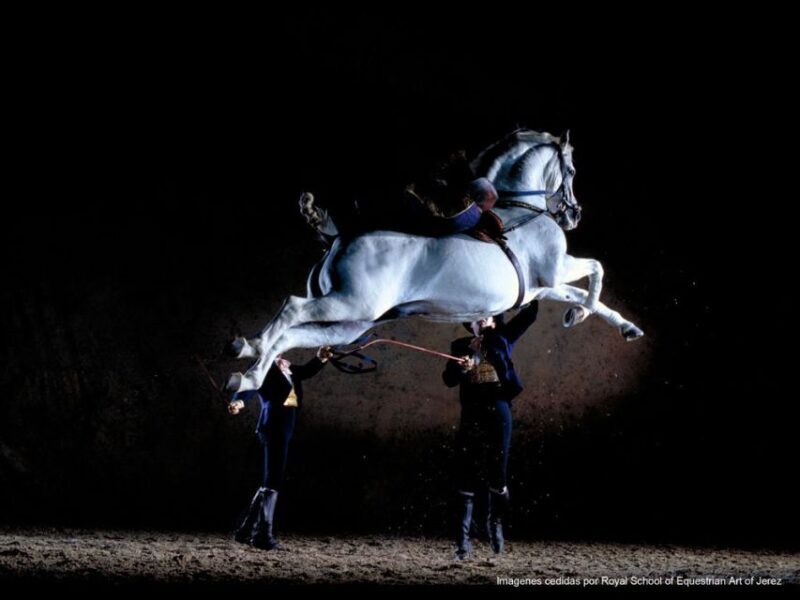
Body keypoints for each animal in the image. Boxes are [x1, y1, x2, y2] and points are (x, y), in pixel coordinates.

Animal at [225, 129, 644, 393]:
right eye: (571, 170)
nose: (574, 215)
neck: (520, 208)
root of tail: (336, 238)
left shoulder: (541, 287)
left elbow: (584, 293)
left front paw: (620, 325)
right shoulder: (557, 269)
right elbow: (596, 270)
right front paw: (580, 314)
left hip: (349, 324)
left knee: (293, 335)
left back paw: (246, 373)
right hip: (349, 303)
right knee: (291, 308)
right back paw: (249, 350)